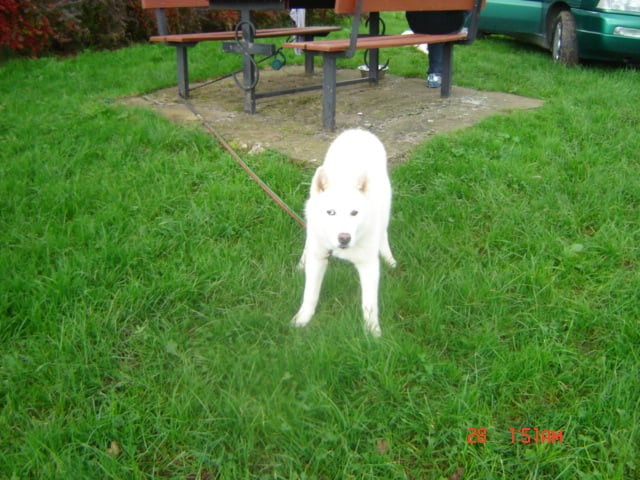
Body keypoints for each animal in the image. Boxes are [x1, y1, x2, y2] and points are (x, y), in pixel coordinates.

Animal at [292, 129, 396, 336]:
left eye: (354, 213)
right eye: (331, 212)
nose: (344, 238)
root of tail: (358, 131)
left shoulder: (369, 265)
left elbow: (370, 304)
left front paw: (373, 333)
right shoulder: (319, 257)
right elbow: (310, 294)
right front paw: (302, 320)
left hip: (386, 206)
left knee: (384, 233)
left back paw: (389, 259)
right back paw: (301, 262)